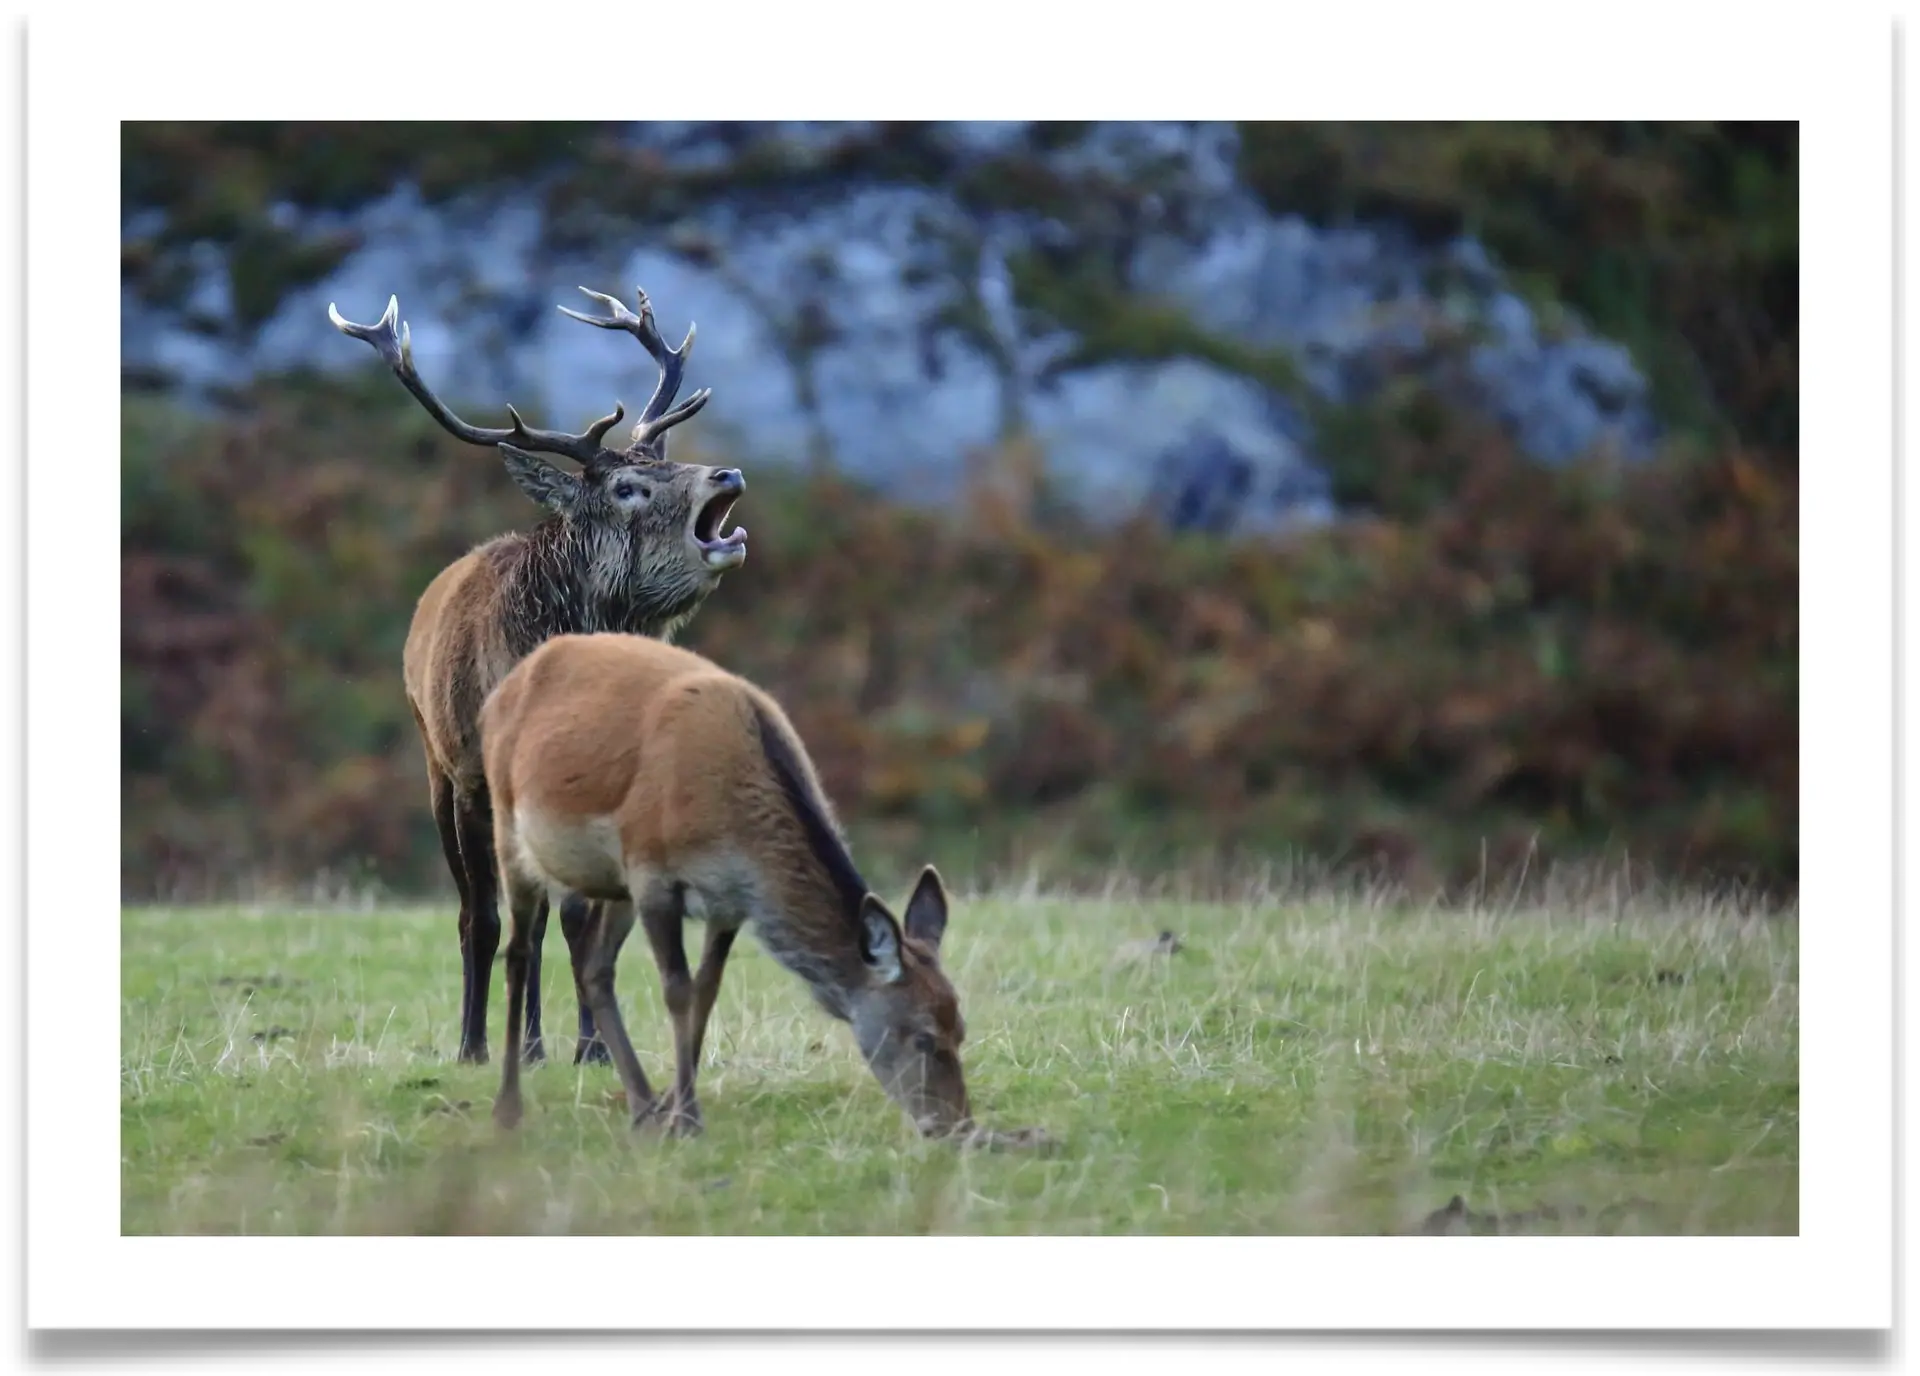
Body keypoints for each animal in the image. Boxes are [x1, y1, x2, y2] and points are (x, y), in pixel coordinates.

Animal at [328, 285, 749, 1070]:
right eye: (628, 486)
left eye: (667, 460)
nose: (728, 474)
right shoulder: (471, 776)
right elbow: (486, 918)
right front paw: (472, 1045)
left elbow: (584, 916)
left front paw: (595, 1048)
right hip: (436, 765)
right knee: (484, 910)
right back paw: (502, 1041)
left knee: (549, 911)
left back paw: (537, 1043)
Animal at [480, 630, 1049, 1150]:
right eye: (923, 1037)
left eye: (962, 1029)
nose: (958, 1127)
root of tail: (505, 686)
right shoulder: (651, 871)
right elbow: (678, 990)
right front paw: (688, 1121)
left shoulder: (728, 902)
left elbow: (706, 992)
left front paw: (677, 1109)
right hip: (509, 823)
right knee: (520, 950)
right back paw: (508, 1107)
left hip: (611, 884)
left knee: (595, 966)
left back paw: (642, 1107)